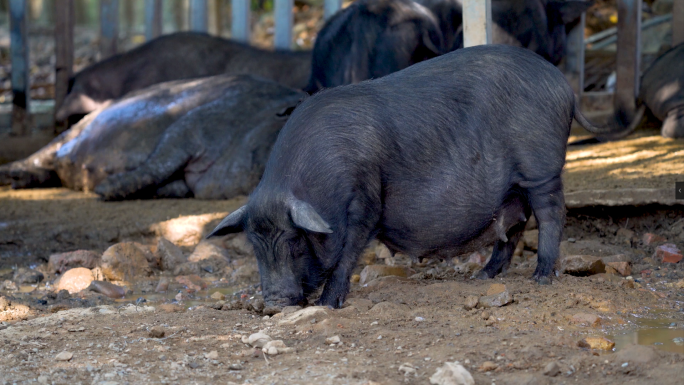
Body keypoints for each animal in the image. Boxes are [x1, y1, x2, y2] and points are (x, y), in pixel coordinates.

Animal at [0, 75, 304, 198]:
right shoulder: (197, 123)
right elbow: (160, 159)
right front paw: (105, 188)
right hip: (74, 129)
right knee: (47, 150)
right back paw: (10, 174)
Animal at [208, 44, 632, 308]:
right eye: (254, 246)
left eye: (296, 244)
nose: (274, 302)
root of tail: (564, 86)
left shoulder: (365, 197)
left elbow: (349, 251)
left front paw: (329, 304)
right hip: (514, 188)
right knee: (513, 226)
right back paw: (482, 277)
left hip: (541, 168)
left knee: (551, 215)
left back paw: (541, 277)